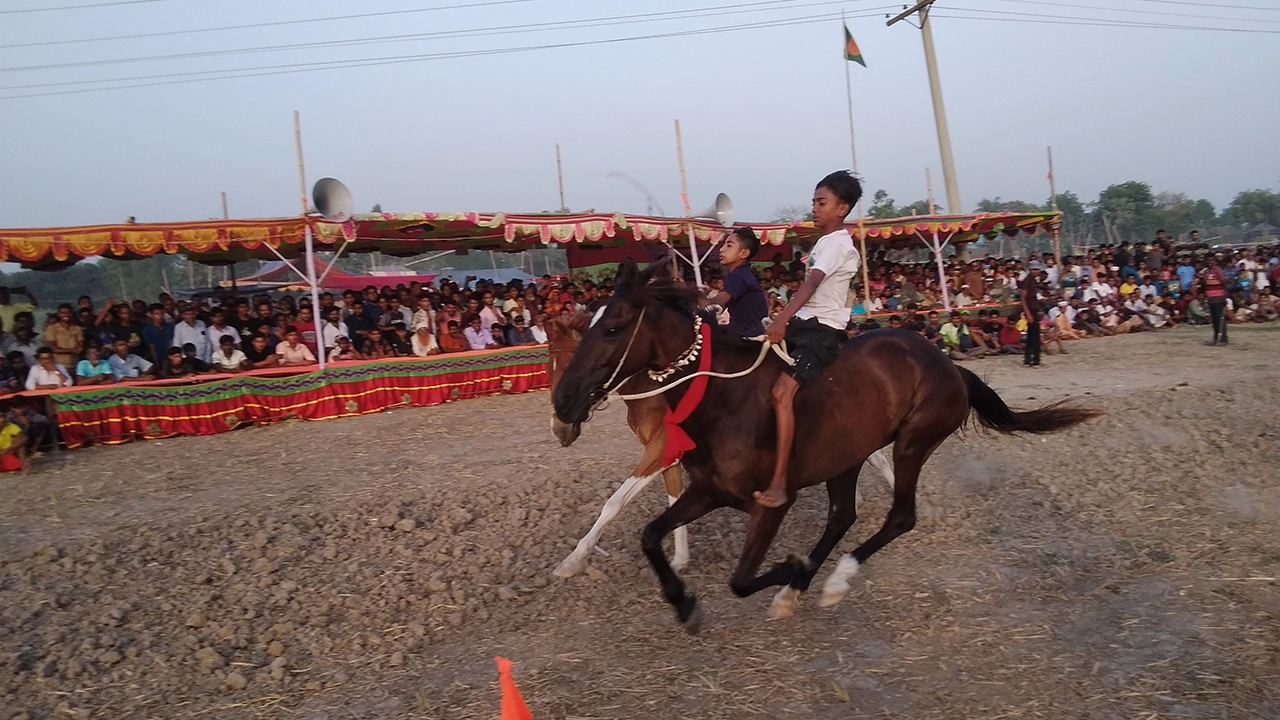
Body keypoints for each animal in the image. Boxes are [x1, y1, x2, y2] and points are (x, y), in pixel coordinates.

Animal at [552, 260, 1100, 630]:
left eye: (613, 327)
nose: (562, 403)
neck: (721, 395)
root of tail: (945, 361)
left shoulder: (768, 504)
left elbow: (740, 578)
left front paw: (790, 569)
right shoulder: (706, 489)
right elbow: (648, 532)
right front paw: (683, 601)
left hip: (913, 441)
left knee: (899, 516)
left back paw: (831, 581)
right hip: (846, 457)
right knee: (843, 516)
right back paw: (803, 585)